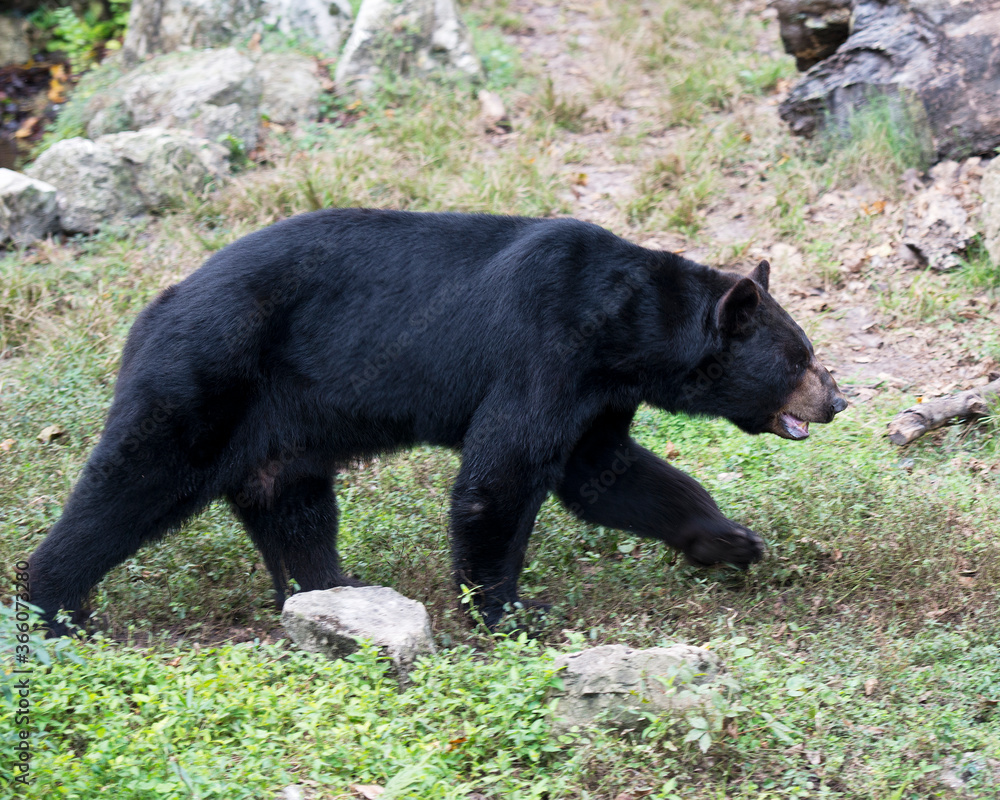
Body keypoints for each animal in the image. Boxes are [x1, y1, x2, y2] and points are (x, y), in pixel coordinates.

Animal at [28, 209, 847, 635]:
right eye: (800, 357)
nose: (836, 400)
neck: (625, 325)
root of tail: (152, 309)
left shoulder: (597, 392)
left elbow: (607, 473)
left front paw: (732, 542)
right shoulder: (544, 352)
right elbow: (500, 479)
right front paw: (509, 610)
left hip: (282, 425)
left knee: (294, 507)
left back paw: (332, 591)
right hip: (203, 374)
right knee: (135, 479)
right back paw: (55, 603)